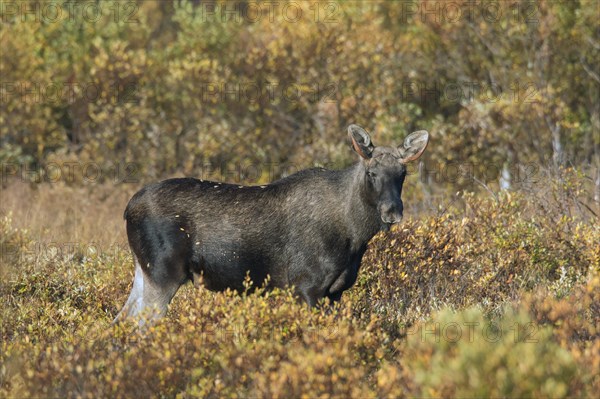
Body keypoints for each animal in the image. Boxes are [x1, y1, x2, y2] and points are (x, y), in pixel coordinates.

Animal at [115, 126, 428, 324]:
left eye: (403, 173)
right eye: (372, 172)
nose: (392, 211)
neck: (355, 236)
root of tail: (128, 209)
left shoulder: (335, 292)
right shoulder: (306, 286)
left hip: (144, 271)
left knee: (120, 320)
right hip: (163, 274)